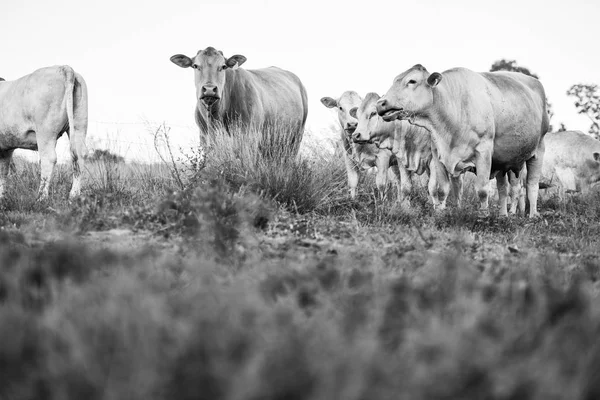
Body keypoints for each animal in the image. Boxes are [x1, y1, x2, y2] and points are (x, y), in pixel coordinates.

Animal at [0, 67, 89, 202]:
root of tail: (64, 68)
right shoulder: (6, 147)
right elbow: (3, 171)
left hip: (45, 132)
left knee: (48, 159)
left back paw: (41, 197)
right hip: (79, 125)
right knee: (79, 156)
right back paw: (74, 195)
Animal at [170, 45, 308, 155]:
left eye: (223, 66)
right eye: (195, 65)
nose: (209, 89)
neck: (216, 117)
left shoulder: (249, 137)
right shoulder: (205, 139)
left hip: (295, 139)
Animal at [378, 64, 552, 219]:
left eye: (412, 81)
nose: (381, 103)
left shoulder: (483, 152)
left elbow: (482, 190)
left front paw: (483, 216)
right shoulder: (438, 154)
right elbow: (442, 190)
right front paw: (440, 214)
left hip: (538, 150)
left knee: (531, 185)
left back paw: (531, 215)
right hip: (503, 162)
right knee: (503, 189)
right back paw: (503, 215)